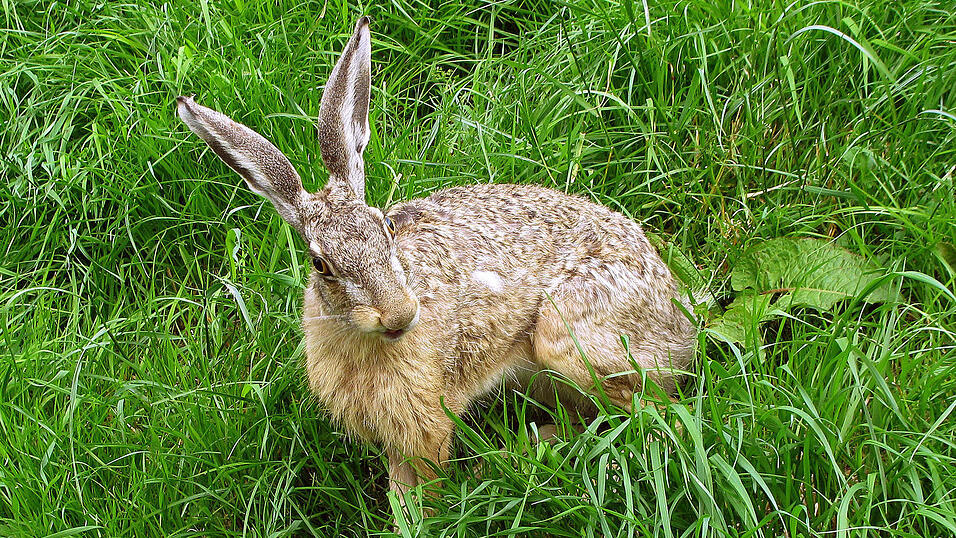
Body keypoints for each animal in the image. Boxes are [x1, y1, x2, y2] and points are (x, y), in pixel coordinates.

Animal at [177, 16, 695, 501]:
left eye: (387, 227)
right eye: (321, 264)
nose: (399, 315)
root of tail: (680, 315)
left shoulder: (427, 422)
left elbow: (424, 488)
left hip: (566, 333)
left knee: (653, 413)